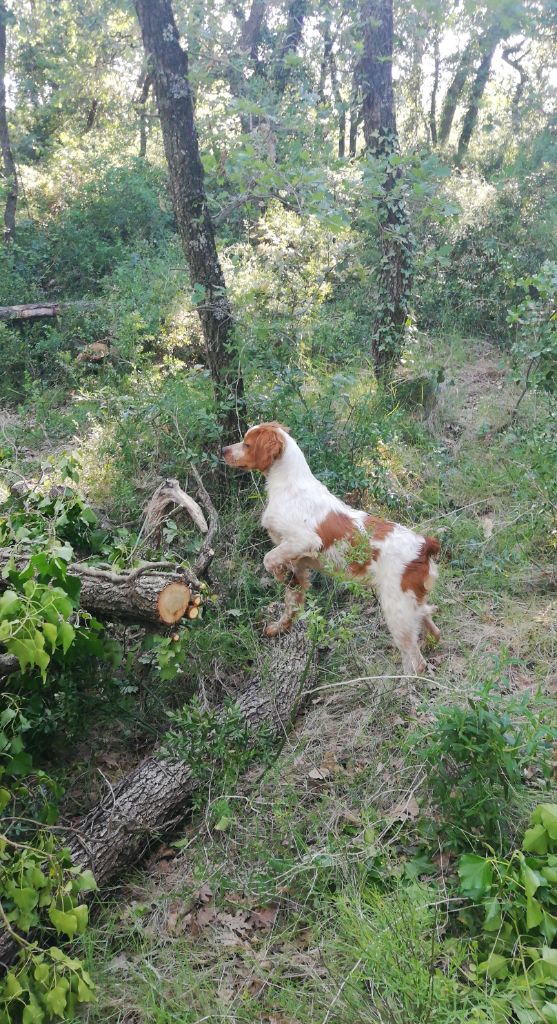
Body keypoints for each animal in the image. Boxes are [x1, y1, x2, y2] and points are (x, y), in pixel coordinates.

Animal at [222, 419, 440, 675]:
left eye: (246, 444)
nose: (222, 450)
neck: (288, 486)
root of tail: (425, 544)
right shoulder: (297, 562)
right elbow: (291, 601)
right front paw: (279, 627)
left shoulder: (303, 541)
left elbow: (269, 559)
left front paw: (280, 575)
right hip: (413, 604)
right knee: (433, 628)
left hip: (397, 610)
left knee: (416, 662)